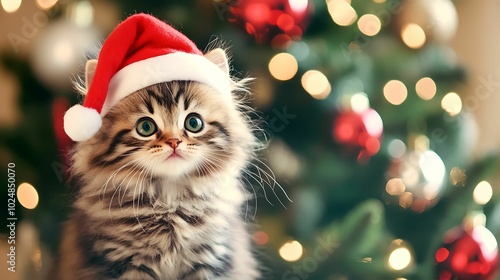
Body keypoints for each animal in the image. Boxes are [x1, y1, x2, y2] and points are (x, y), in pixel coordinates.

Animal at [54, 49, 262, 278]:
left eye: (194, 123)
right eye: (146, 127)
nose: (174, 142)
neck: (169, 202)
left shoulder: (211, 258)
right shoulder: (122, 262)